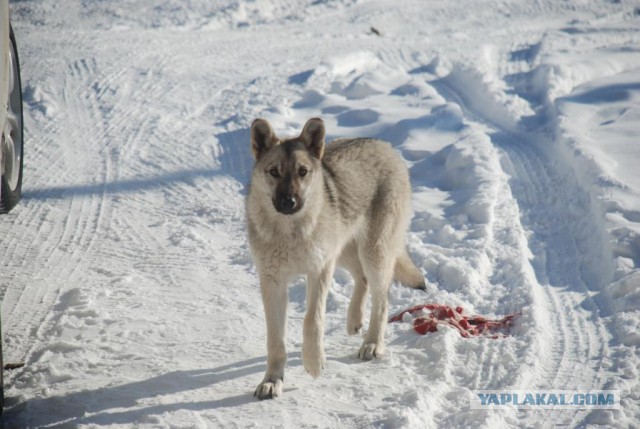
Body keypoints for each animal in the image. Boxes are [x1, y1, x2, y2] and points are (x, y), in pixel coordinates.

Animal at [245, 116, 424, 398]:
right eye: (274, 172)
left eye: (302, 172)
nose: (288, 201)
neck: (290, 232)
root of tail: (386, 146)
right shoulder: (272, 282)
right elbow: (275, 340)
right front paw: (272, 381)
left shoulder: (319, 270)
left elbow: (312, 320)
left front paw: (313, 362)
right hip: (344, 252)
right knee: (362, 280)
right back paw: (354, 321)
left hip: (371, 253)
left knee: (382, 298)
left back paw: (372, 344)